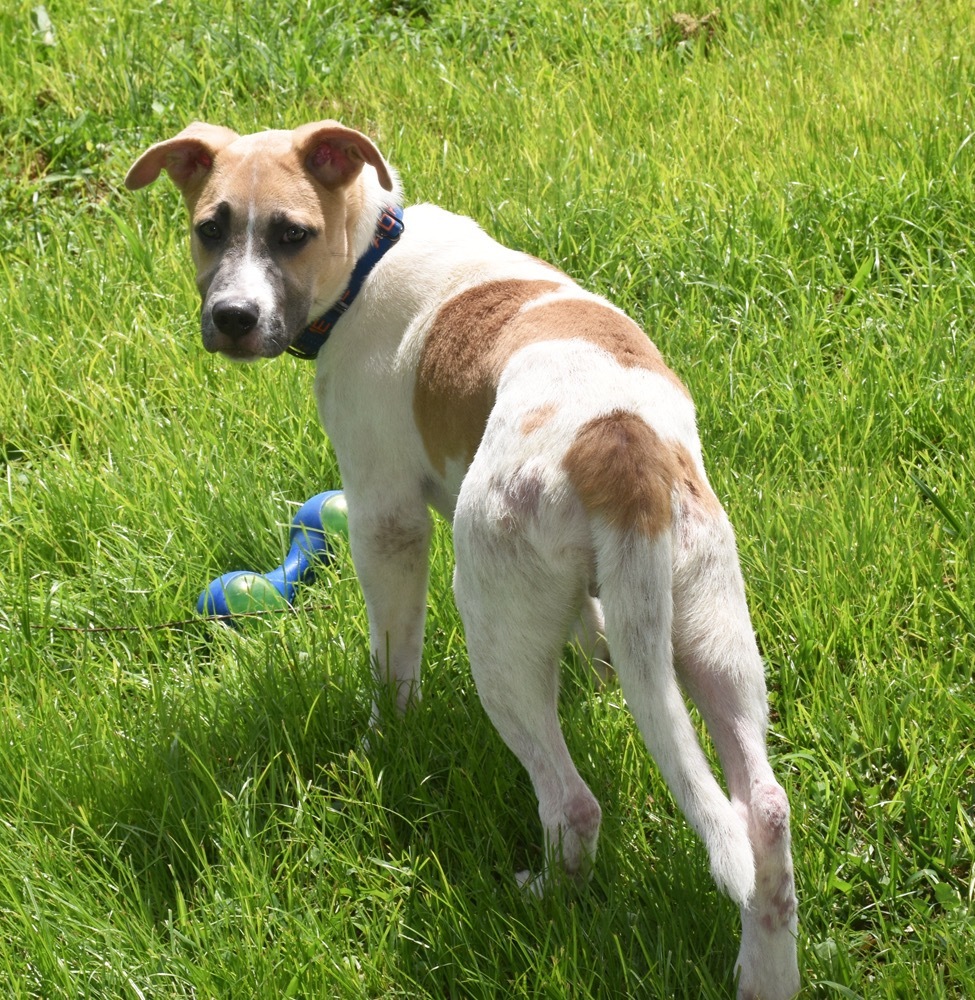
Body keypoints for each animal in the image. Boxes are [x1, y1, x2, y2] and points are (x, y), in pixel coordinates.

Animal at [127, 121, 800, 996]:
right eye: (210, 228)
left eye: (290, 235)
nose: (233, 317)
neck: (372, 252)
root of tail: (617, 443)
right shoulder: (604, 599)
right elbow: (596, 636)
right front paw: (599, 677)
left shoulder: (383, 518)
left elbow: (393, 663)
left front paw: (384, 739)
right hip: (711, 626)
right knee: (763, 814)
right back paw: (765, 971)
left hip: (492, 620)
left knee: (571, 802)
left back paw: (542, 897)